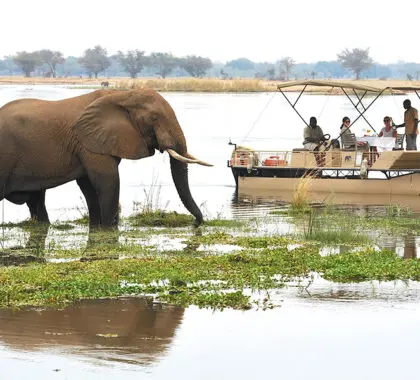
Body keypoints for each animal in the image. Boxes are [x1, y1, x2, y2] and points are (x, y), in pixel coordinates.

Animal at [0, 89, 210, 227]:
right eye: (155, 118)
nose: (197, 223)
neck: (122, 94)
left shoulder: (94, 143)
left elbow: (89, 186)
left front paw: (97, 227)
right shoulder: (88, 142)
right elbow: (108, 181)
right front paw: (110, 228)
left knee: (37, 200)